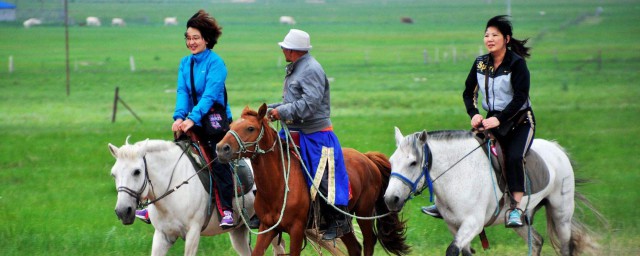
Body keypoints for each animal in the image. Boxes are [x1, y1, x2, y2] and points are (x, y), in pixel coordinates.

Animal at [109, 139, 284, 255]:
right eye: (113, 174)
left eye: (137, 171)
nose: (123, 211)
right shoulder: (162, 236)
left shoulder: (193, 233)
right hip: (238, 231)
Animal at [215, 104, 404, 256]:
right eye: (231, 126)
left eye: (250, 128)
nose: (221, 148)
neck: (279, 186)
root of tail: (366, 157)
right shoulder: (268, 227)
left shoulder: (297, 230)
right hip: (344, 223)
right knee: (355, 248)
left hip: (364, 211)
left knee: (369, 242)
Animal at [382, 128, 596, 256]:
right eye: (391, 161)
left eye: (413, 162)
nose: (391, 199)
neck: (458, 175)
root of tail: (557, 149)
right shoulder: (454, 226)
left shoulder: (473, 223)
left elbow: (452, 250)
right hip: (519, 219)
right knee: (536, 241)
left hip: (561, 214)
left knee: (566, 246)